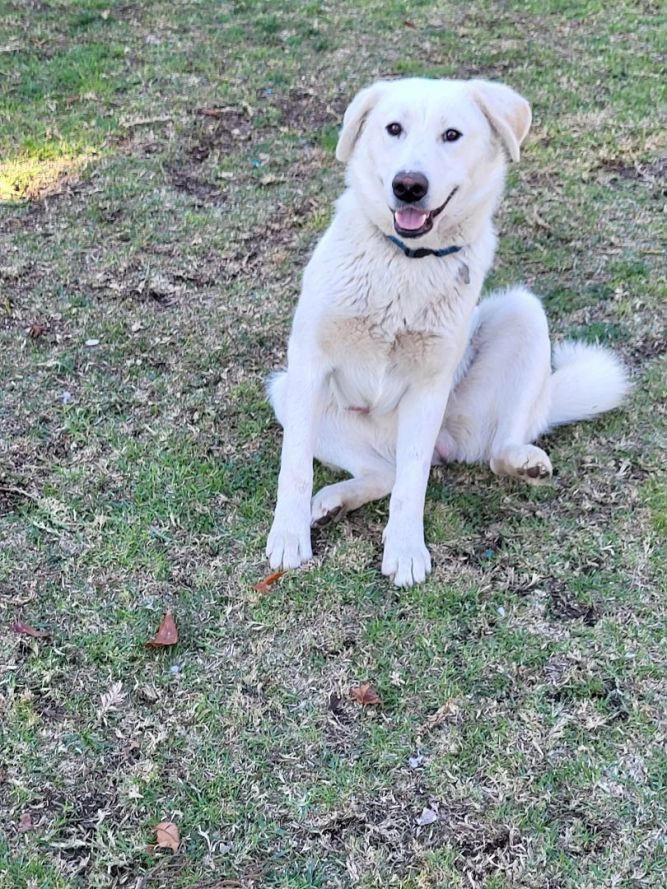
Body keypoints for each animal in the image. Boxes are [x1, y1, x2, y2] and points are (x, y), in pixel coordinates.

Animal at [264, 78, 628, 588]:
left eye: (451, 135)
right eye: (393, 128)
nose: (408, 185)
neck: (405, 261)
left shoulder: (428, 387)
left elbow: (412, 484)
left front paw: (404, 550)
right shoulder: (309, 363)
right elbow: (295, 467)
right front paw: (288, 537)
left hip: (522, 316)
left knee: (484, 452)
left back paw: (523, 463)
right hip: (287, 391)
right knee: (381, 473)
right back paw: (332, 502)